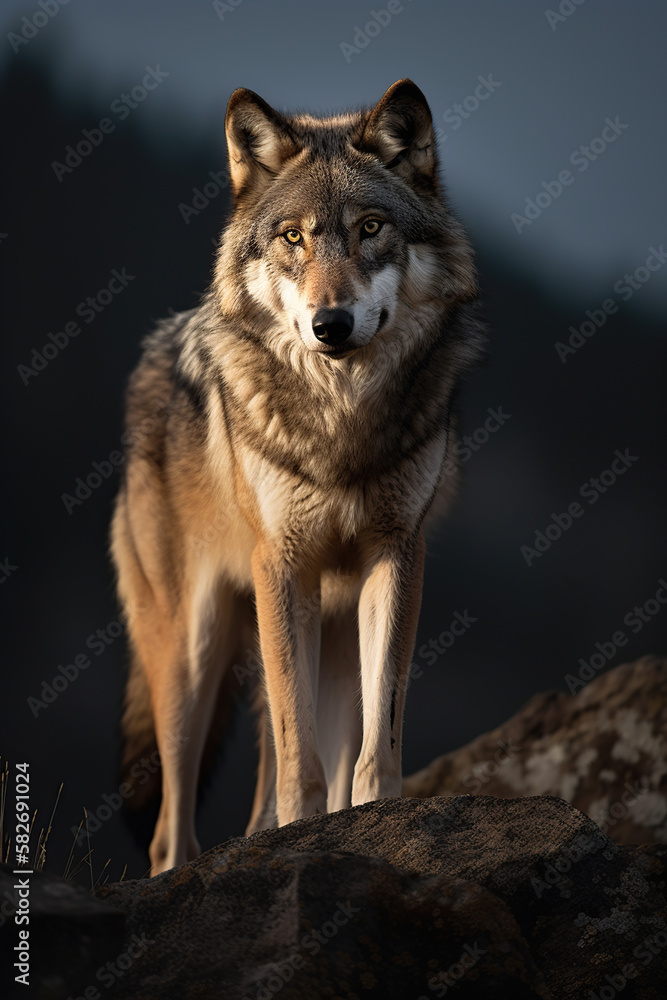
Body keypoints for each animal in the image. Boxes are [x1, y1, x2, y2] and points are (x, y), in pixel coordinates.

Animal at [112, 79, 484, 875]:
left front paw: (372, 821)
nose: (330, 324)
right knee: (169, 825)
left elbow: (380, 731)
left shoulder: (395, 554)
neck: (340, 421)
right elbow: (298, 751)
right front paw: (304, 831)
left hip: (329, 624)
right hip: (193, 651)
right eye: (292, 237)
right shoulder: (281, 565)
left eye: (371, 228)